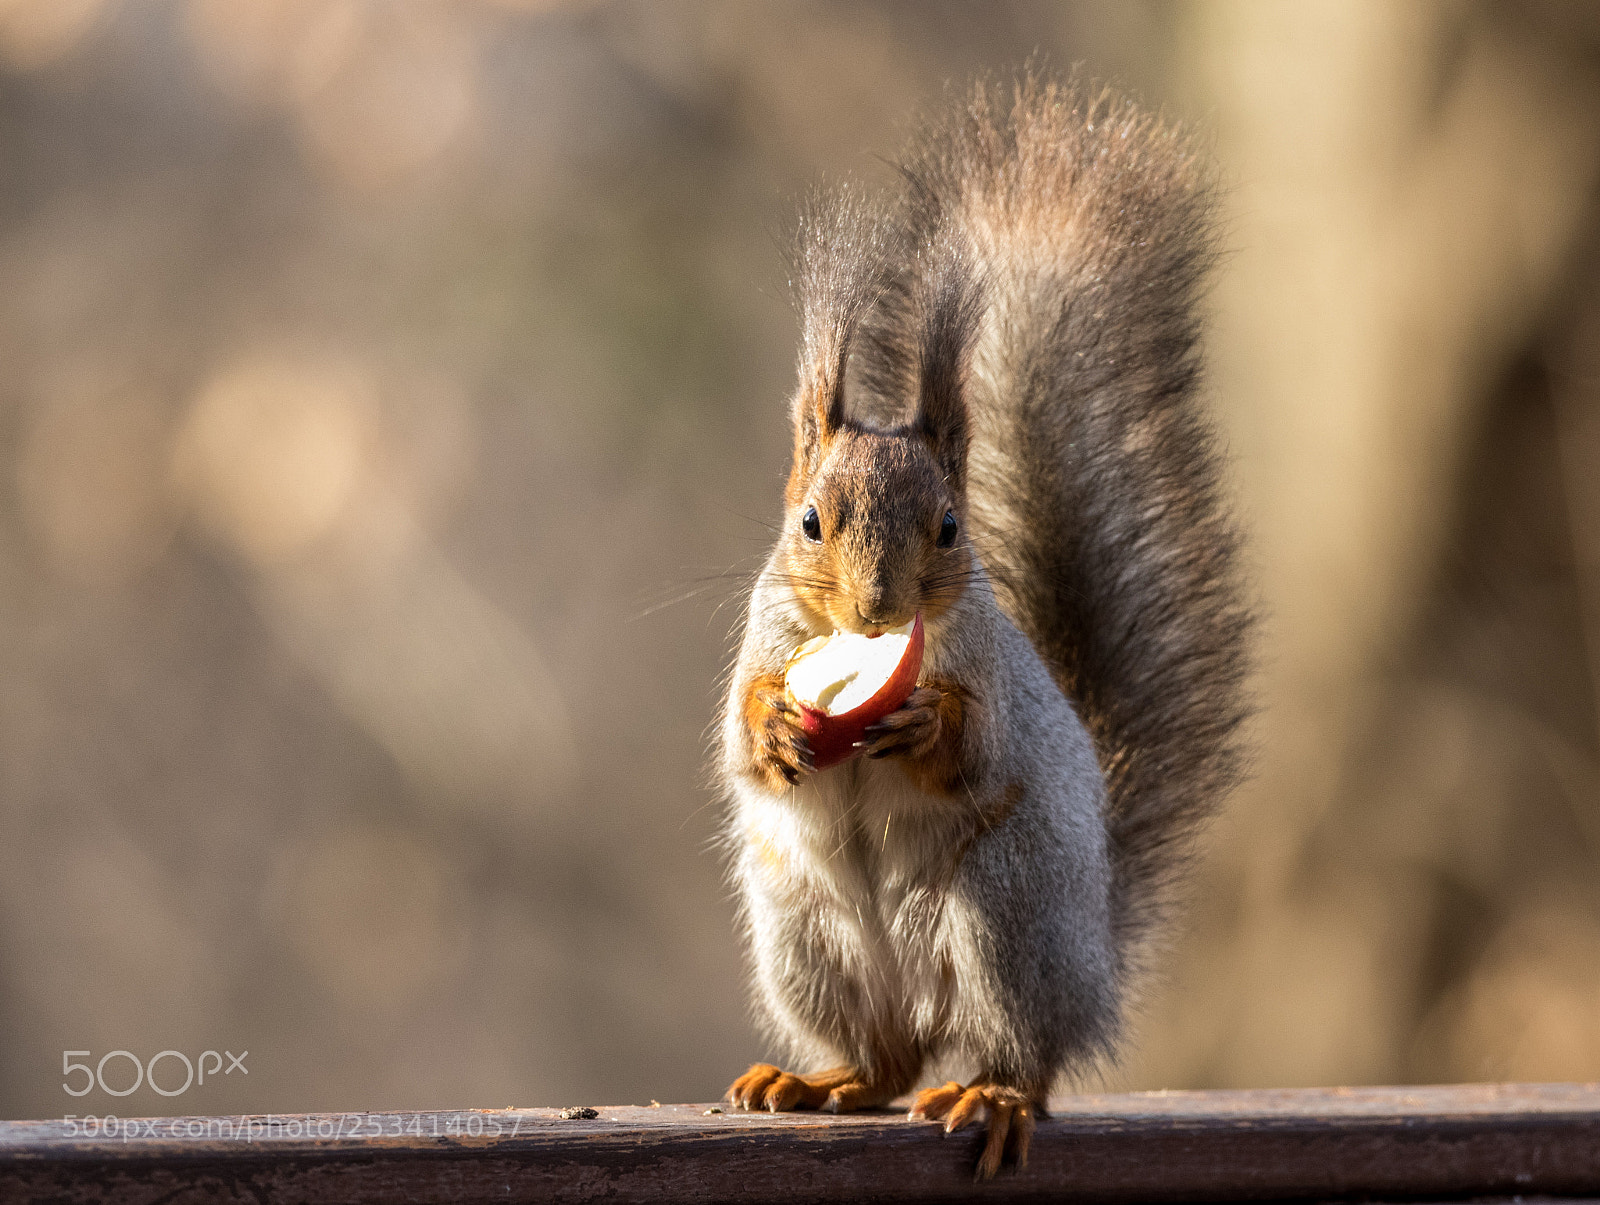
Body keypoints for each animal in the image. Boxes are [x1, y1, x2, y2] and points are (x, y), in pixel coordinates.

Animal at [717, 71, 1252, 1179]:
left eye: (951, 527)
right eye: (809, 522)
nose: (877, 610)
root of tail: (1095, 959)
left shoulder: (991, 675)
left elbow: (977, 746)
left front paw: (926, 723)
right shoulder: (759, 636)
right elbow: (739, 741)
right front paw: (777, 725)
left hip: (1002, 919)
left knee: (1021, 1055)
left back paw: (995, 1093)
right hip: (805, 937)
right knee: (885, 1056)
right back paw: (817, 1079)